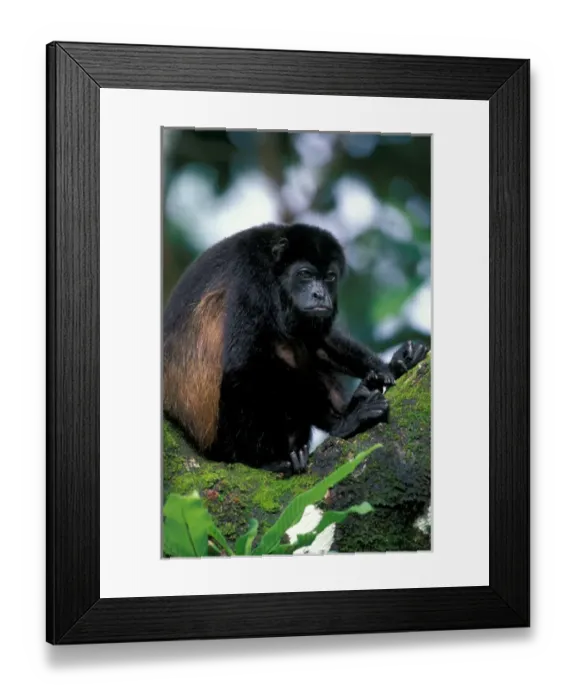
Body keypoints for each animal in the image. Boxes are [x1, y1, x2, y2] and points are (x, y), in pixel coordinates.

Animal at [163, 223, 428, 476]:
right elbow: (243, 363)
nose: (320, 294)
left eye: (329, 277)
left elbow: (318, 340)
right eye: (305, 275)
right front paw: (344, 421)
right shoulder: (251, 277)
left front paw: (393, 365)